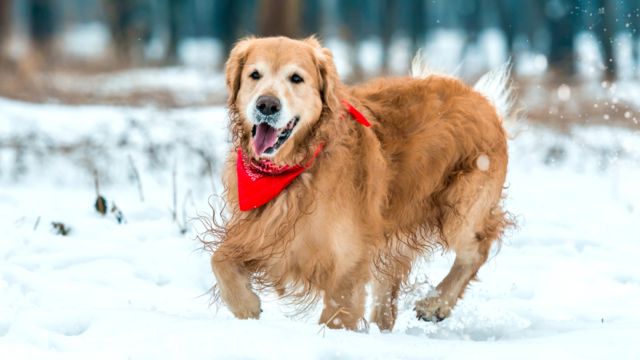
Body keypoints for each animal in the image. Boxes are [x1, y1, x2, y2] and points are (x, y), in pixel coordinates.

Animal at [208, 37, 512, 332]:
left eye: (296, 78)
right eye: (254, 75)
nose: (267, 105)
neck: (298, 165)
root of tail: (481, 98)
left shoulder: (348, 254)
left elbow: (338, 309)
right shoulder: (263, 231)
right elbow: (219, 259)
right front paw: (246, 306)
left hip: (462, 207)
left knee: (475, 251)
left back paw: (435, 304)